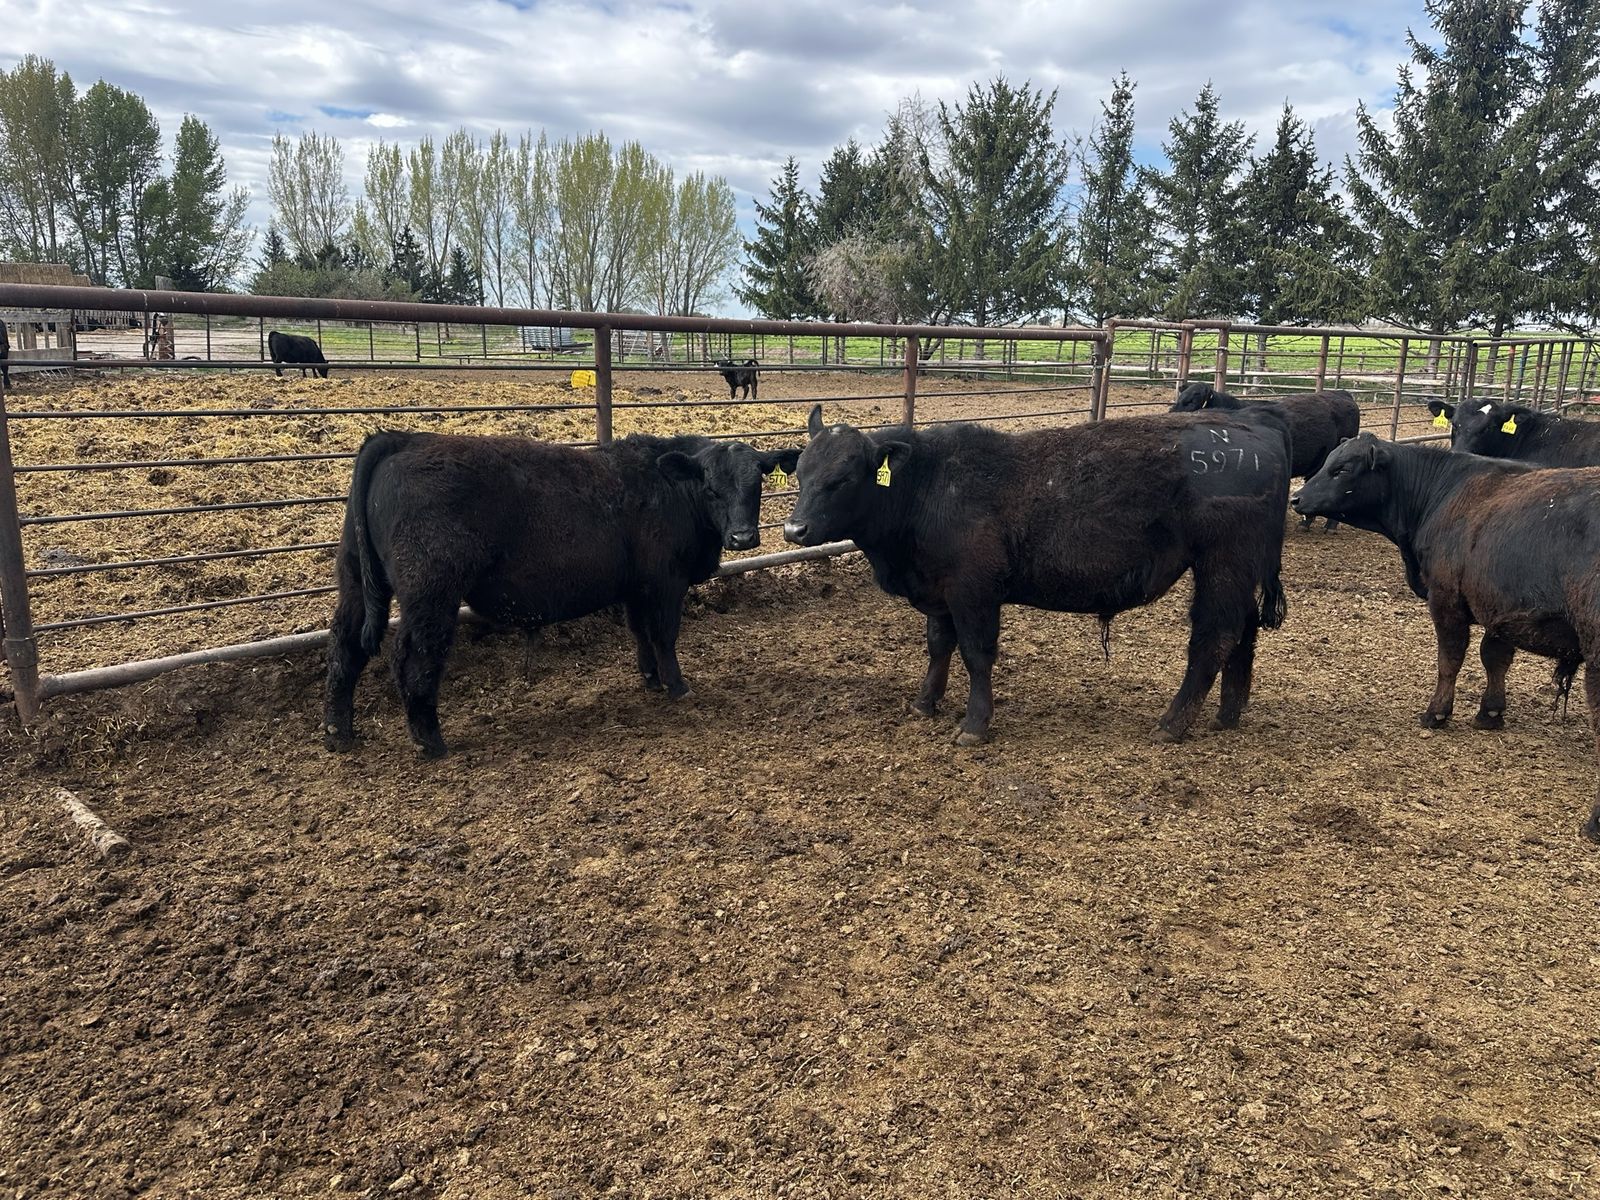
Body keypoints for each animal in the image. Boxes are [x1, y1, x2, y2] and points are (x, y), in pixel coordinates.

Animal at [323, 430, 801, 758]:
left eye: (757, 484)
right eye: (710, 488)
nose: (743, 538)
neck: (668, 488)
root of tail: (402, 438)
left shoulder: (635, 587)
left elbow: (640, 634)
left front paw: (649, 679)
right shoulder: (667, 581)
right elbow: (664, 635)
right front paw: (677, 685)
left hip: (355, 580)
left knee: (345, 647)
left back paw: (338, 733)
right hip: (431, 594)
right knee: (415, 657)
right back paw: (430, 741)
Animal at [781, 404, 1291, 745]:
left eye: (844, 478)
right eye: (801, 472)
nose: (793, 528)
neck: (930, 487)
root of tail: (1255, 429)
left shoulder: (974, 591)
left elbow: (976, 654)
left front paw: (974, 725)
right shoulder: (940, 592)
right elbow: (938, 645)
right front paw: (926, 702)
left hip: (1222, 563)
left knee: (1214, 636)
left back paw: (1172, 723)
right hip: (1239, 569)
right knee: (1244, 632)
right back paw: (1228, 713)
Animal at [1293, 432, 1600, 841]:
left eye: (1342, 468)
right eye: (1328, 461)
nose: (1296, 498)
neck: (1442, 492)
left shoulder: (1446, 598)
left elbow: (1450, 659)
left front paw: (1436, 712)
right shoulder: (1499, 607)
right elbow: (1494, 658)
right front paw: (1490, 712)